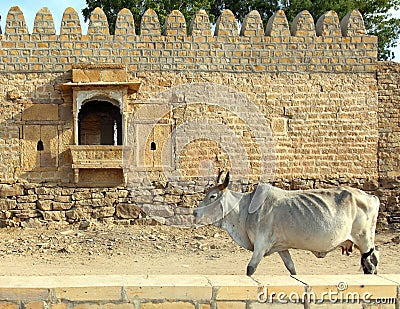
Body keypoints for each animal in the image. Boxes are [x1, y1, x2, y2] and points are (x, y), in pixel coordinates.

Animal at [192, 171, 380, 274]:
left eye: (213, 196)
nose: (195, 212)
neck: (246, 210)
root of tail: (372, 197)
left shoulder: (261, 244)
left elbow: (250, 269)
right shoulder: (281, 247)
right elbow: (292, 269)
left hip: (364, 241)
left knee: (369, 266)